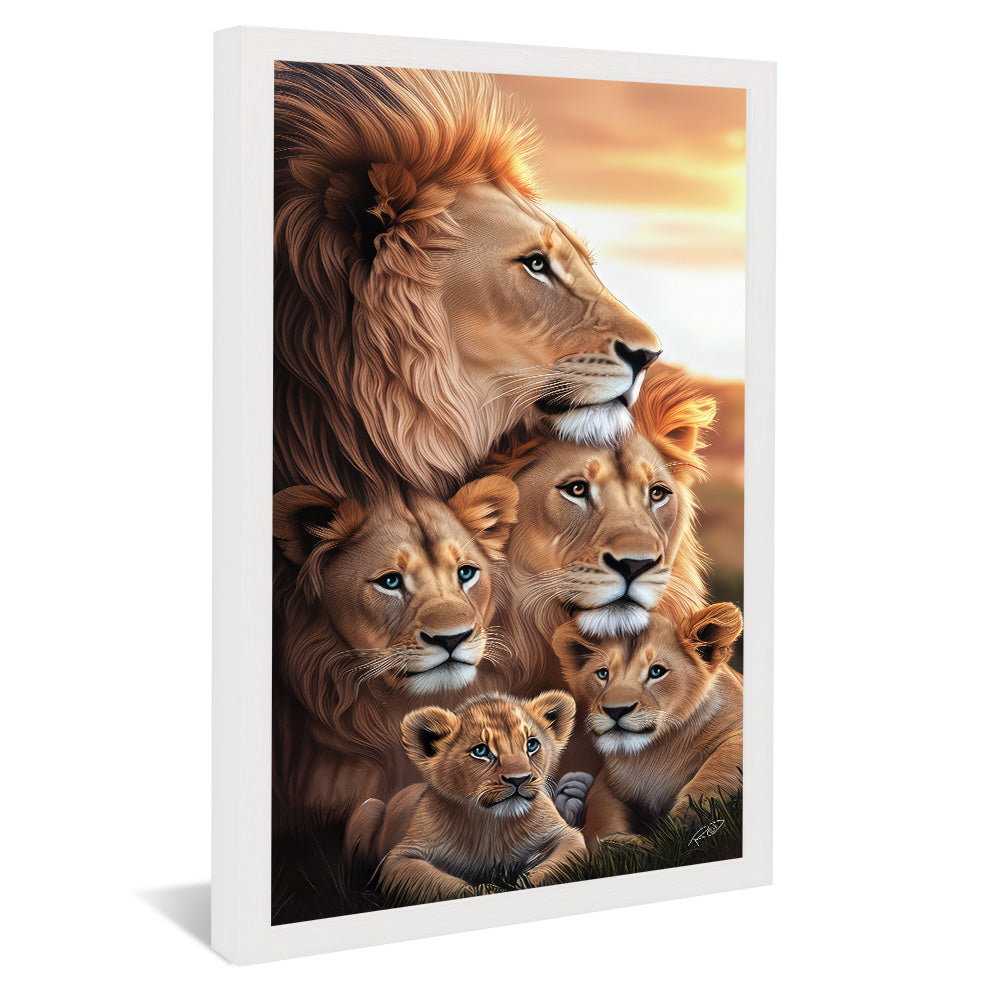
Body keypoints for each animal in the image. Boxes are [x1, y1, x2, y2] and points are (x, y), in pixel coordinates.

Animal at [363, 691, 585, 905]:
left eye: (531, 744)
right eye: (480, 750)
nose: (519, 779)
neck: (493, 825)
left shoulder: (567, 835)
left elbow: (551, 869)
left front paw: (520, 883)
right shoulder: (401, 858)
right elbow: (449, 887)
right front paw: (490, 889)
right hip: (370, 806)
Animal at [551, 605, 743, 848]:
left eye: (657, 671)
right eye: (603, 673)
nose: (616, 711)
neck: (655, 753)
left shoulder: (738, 734)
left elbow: (715, 775)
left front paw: (679, 829)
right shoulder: (608, 782)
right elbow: (601, 815)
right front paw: (622, 845)